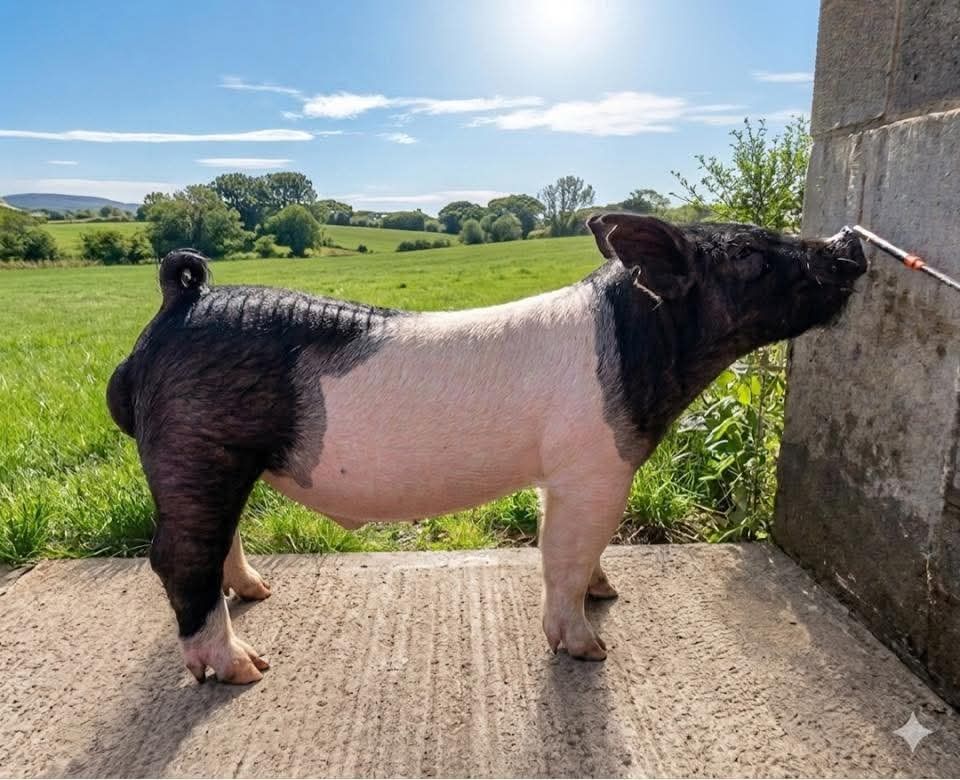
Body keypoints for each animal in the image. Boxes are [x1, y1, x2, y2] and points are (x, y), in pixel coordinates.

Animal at [106, 214, 866, 684]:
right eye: (750, 257)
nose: (849, 246)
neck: (642, 347)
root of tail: (180, 304)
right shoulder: (593, 464)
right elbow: (566, 553)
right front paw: (592, 648)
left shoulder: (562, 473)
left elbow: (576, 550)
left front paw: (607, 591)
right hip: (193, 444)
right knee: (178, 556)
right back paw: (246, 669)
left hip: (221, 459)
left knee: (218, 539)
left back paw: (259, 590)